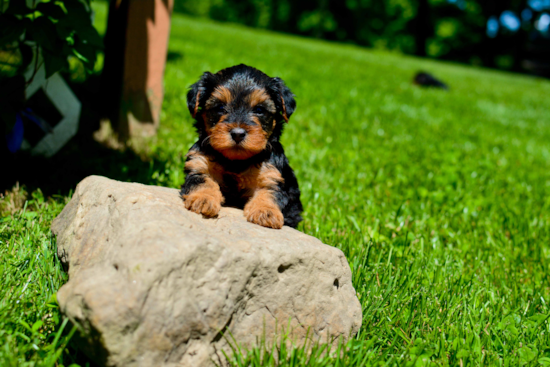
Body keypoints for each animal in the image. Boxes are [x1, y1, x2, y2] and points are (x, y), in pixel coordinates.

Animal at [181, 64, 304, 229]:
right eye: (220, 107)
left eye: (259, 110)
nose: (238, 133)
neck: (236, 161)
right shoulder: (198, 164)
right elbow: (202, 181)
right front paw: (203, 199)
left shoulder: (271, 173)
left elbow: (269, 192)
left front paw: (266, 212)